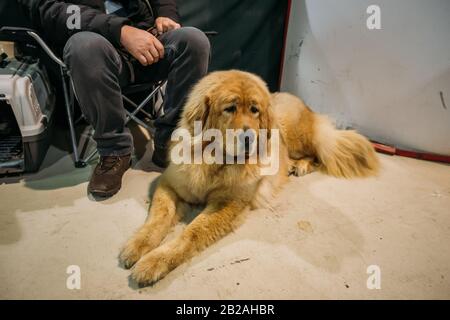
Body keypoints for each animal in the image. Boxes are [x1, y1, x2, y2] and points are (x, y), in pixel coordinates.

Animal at [119, 70, 380, 284]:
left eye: (254, 110)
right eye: (230, 108)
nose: (249, 138)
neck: (216, 160)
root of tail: (295, 98)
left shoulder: (228, 204)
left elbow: (191, 233)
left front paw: (154, 262)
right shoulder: (170, 185)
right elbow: (158, 217)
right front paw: (137, 245)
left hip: (297, 136)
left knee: (318, 153)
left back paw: (301, 165)